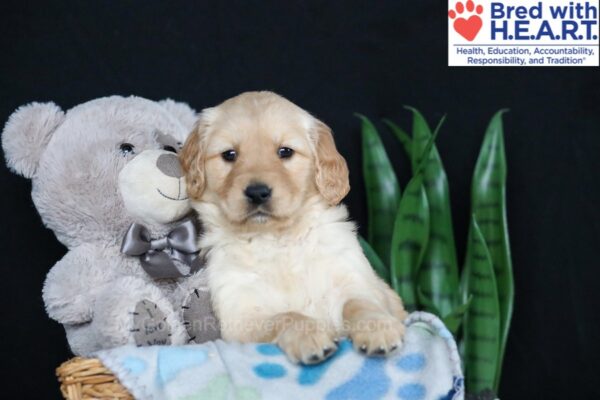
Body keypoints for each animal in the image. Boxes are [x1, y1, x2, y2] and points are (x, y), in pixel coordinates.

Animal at [182, 92, 408, 364]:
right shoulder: (242, 317)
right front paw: (310, 336)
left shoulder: (354, 281)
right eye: (229, 155)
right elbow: (286, 316)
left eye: (285, 152)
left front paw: (377, 329)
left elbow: (360, 303)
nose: (257, 193)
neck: (277, 241)